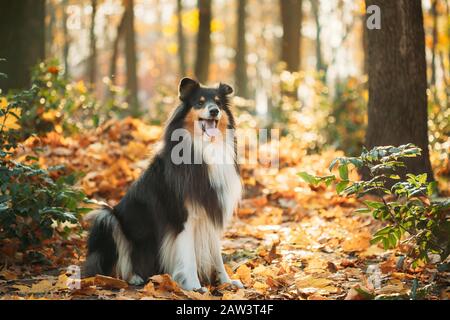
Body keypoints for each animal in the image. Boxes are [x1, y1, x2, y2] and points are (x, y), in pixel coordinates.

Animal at [81, 78, 243, 292]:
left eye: (218, 102)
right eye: (199, 103)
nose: (214, 111)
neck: (203, 148)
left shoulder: (210, 212)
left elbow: (217, 255)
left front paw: (226, 282)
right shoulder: (182, 218)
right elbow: (188, 257)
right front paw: (194, 287)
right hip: (107, 218)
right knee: (112, 266)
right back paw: (132, 277)